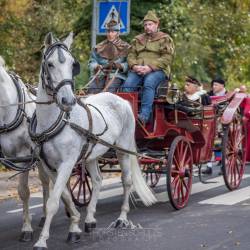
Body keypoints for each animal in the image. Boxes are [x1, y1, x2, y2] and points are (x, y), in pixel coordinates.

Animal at [31, 32, 156, 249]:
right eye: (50, 64)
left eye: (72, 64)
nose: (68, 101)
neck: (56, 121)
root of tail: (122, 100)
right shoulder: (49, 166)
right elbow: (64, 196)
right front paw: (75, 226)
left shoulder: (67, 163)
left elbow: (53, 202)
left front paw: (41, 241)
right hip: (91, 155)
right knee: (97, 180)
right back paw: (89, 219)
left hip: (122, 150)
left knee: (127, 181)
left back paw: (122, 218)